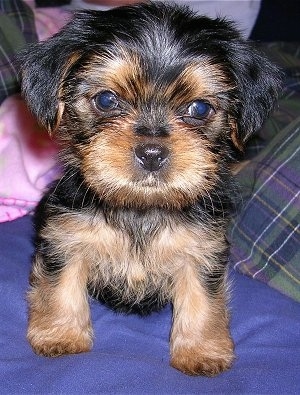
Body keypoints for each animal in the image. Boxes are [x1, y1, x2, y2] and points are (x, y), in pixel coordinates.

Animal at [19, 1, 280, 378]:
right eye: (107, 100)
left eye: (199, 108)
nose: (152, 153)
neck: (141, 205)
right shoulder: (66, 238)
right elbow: (60, 286)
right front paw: (60, 336)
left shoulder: (201, 249)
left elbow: (203, 300)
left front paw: (201, 351)